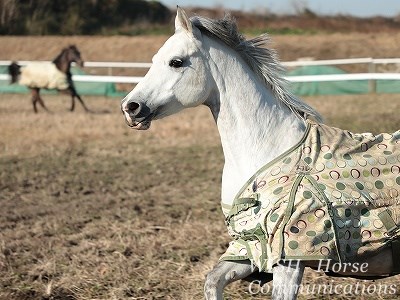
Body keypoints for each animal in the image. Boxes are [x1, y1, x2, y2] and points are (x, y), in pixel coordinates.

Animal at [121, 7, 400, 300]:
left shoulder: (289, 260)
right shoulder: (250, 247)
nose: (130, 107)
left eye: (176, 62)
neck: (266, 150)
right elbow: (212, 280)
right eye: (155, 59)